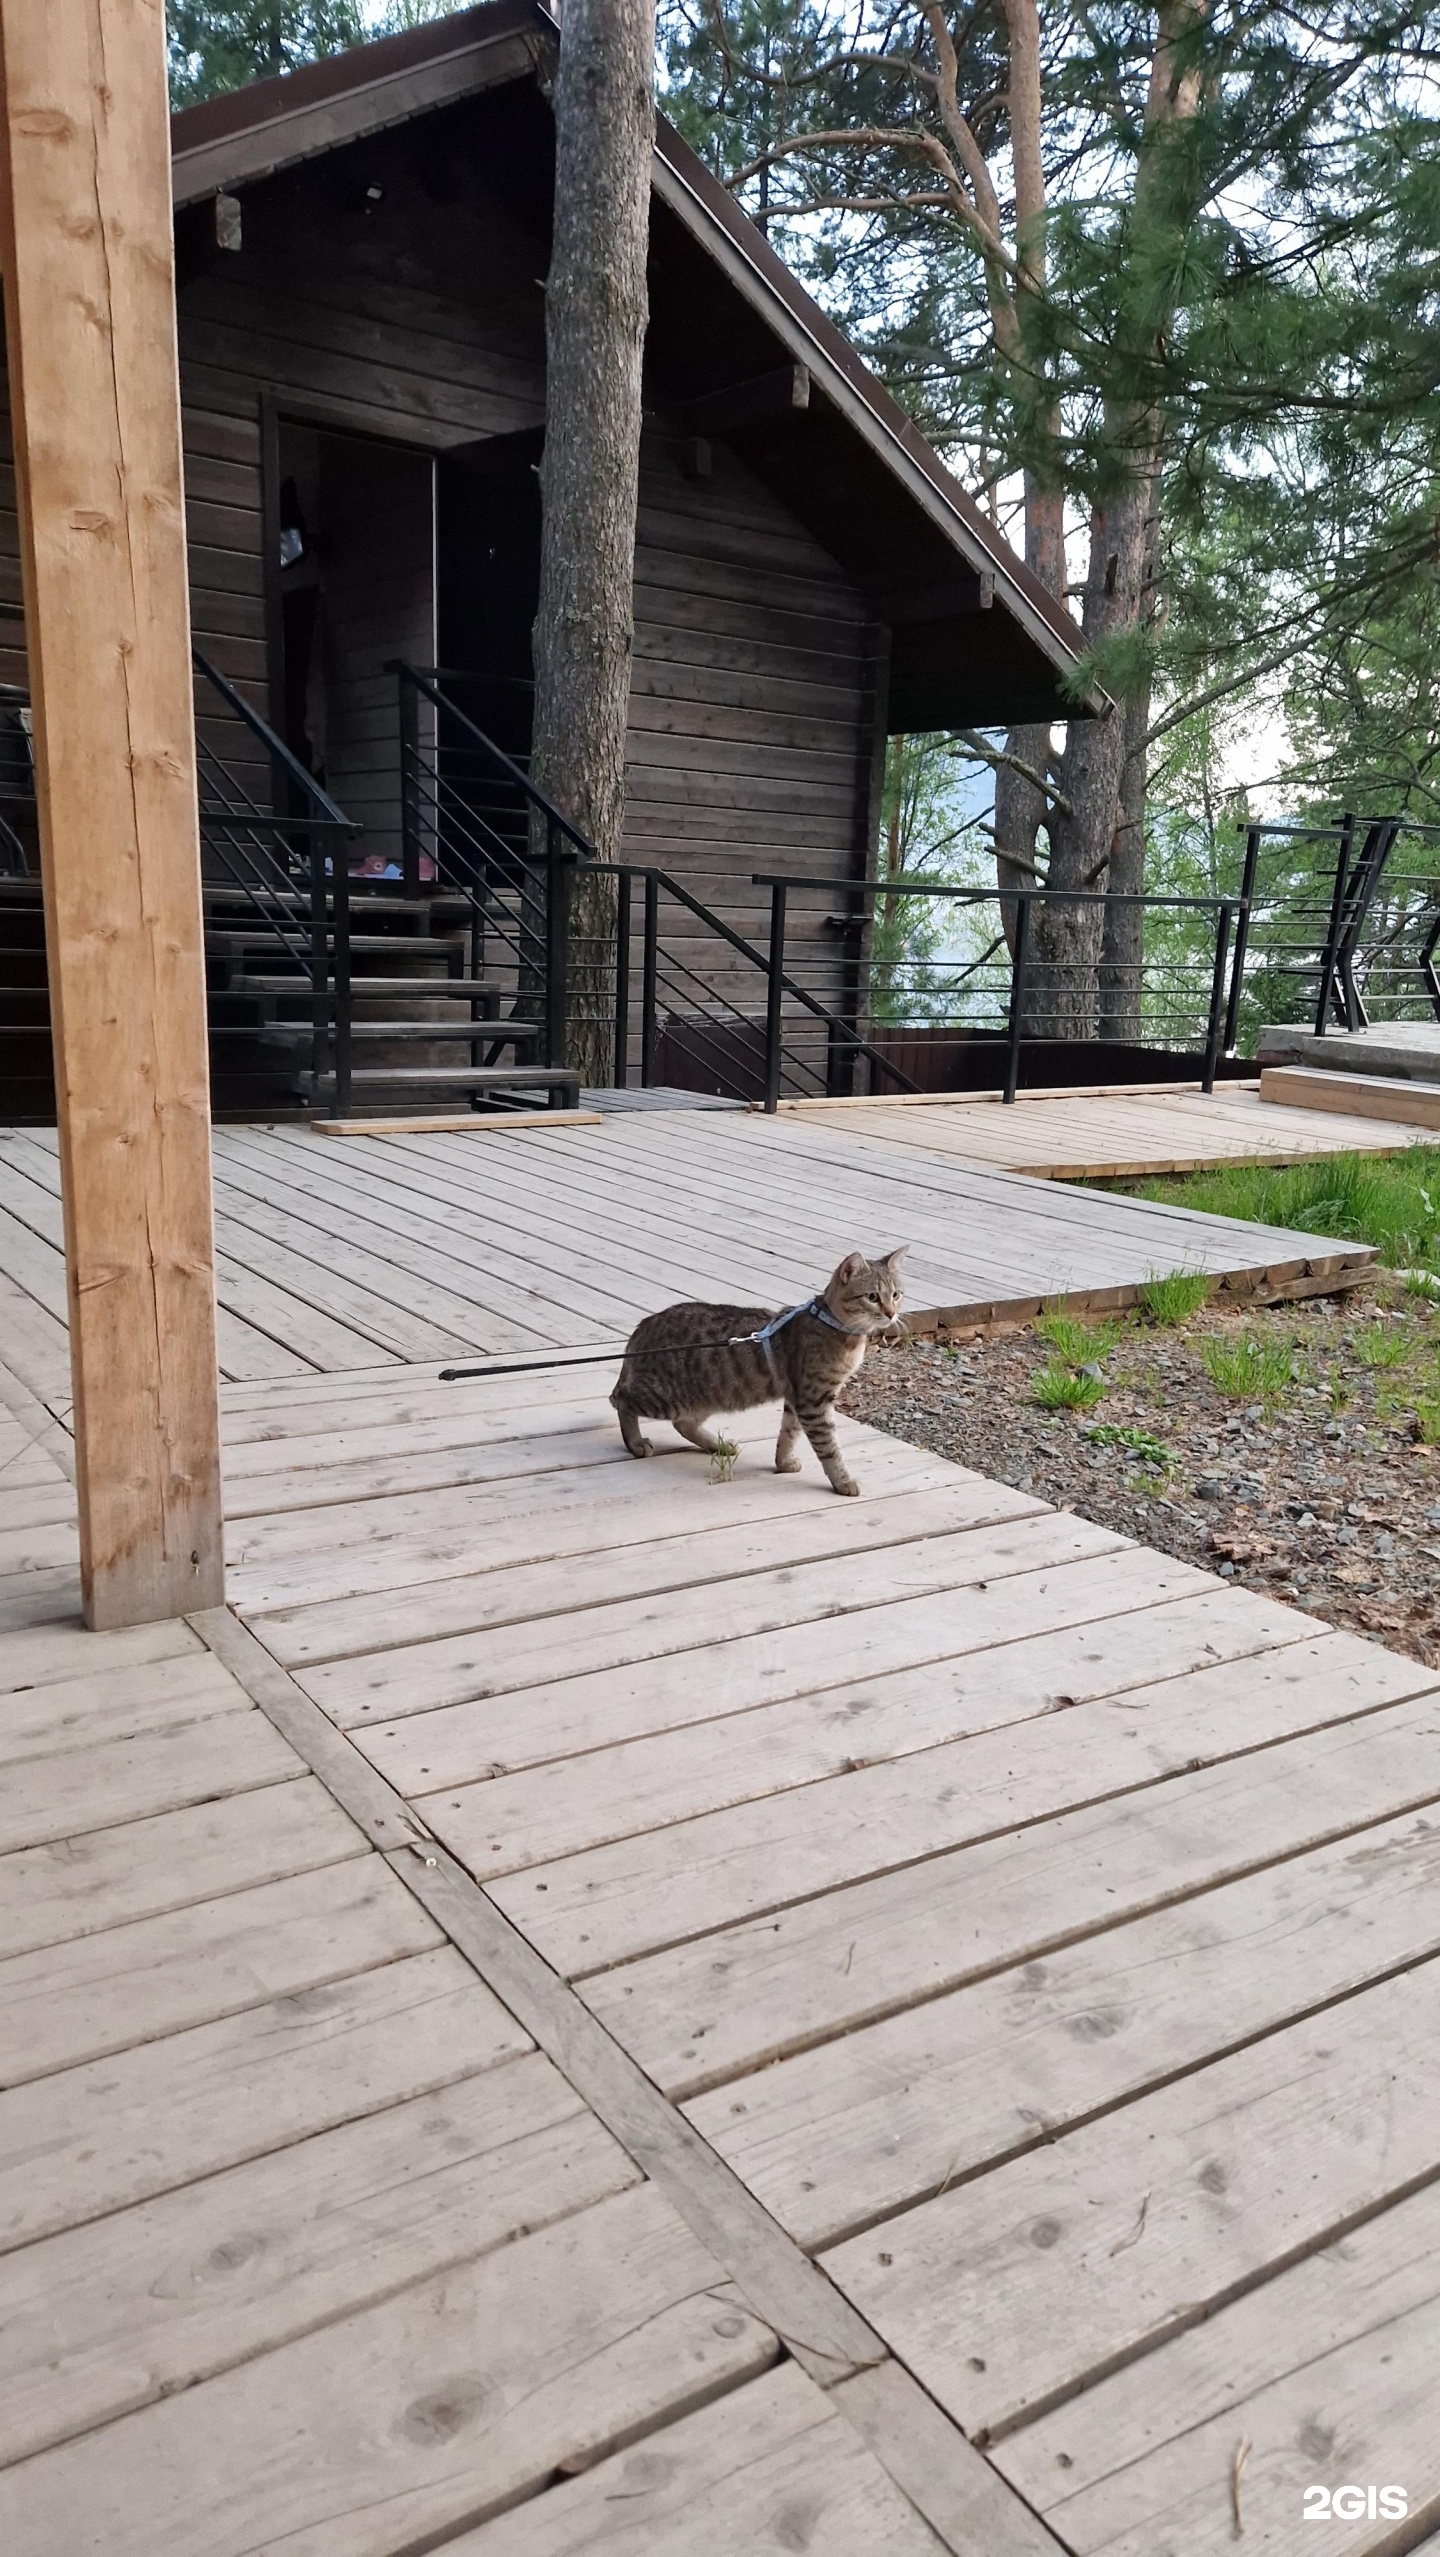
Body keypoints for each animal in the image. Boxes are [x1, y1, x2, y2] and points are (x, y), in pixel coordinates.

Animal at [611, 1242, 905, 1493]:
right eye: (872, 1297)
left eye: (896, 1294)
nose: (891, 1313)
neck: (836, 1327)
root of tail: (643, 1327)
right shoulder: (813, 1401)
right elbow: (829, 1447)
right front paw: (843, 1481)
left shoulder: (797, 1399)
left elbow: (788, 1434)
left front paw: (783, 1463)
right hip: (667, 1396)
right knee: (620, 1399)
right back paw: (636, 1442)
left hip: (705, 1397)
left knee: (682, 1423)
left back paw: (718, 1446)